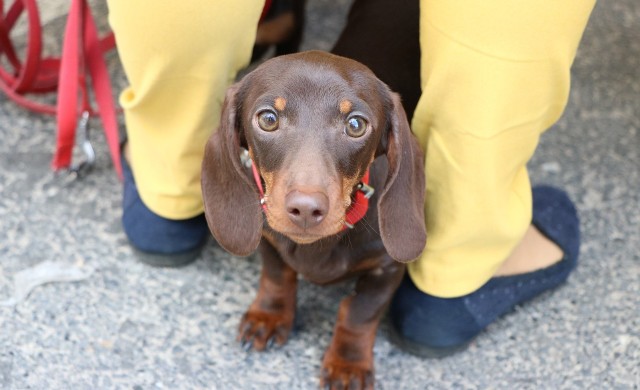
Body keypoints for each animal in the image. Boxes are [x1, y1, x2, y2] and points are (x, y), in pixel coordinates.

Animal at [202, 51, 428, 390]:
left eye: (356, 124)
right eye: (268, 119)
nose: (306, 209)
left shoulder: (387, 267)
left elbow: (360, 313)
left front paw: (348, 364)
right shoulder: (270, 239)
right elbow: (277, 276)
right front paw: (269, 316)